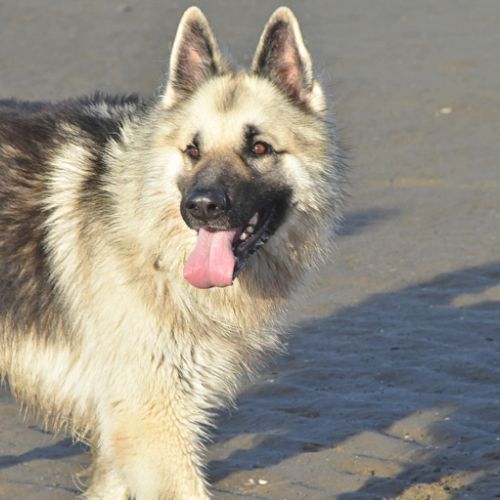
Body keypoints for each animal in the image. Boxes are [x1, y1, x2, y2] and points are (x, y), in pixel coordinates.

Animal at [0, 6, 344, 499]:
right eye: (192, 150)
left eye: (259, 148)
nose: (202, 207)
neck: (151, 243)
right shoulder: (154, 426)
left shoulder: (127, 435)